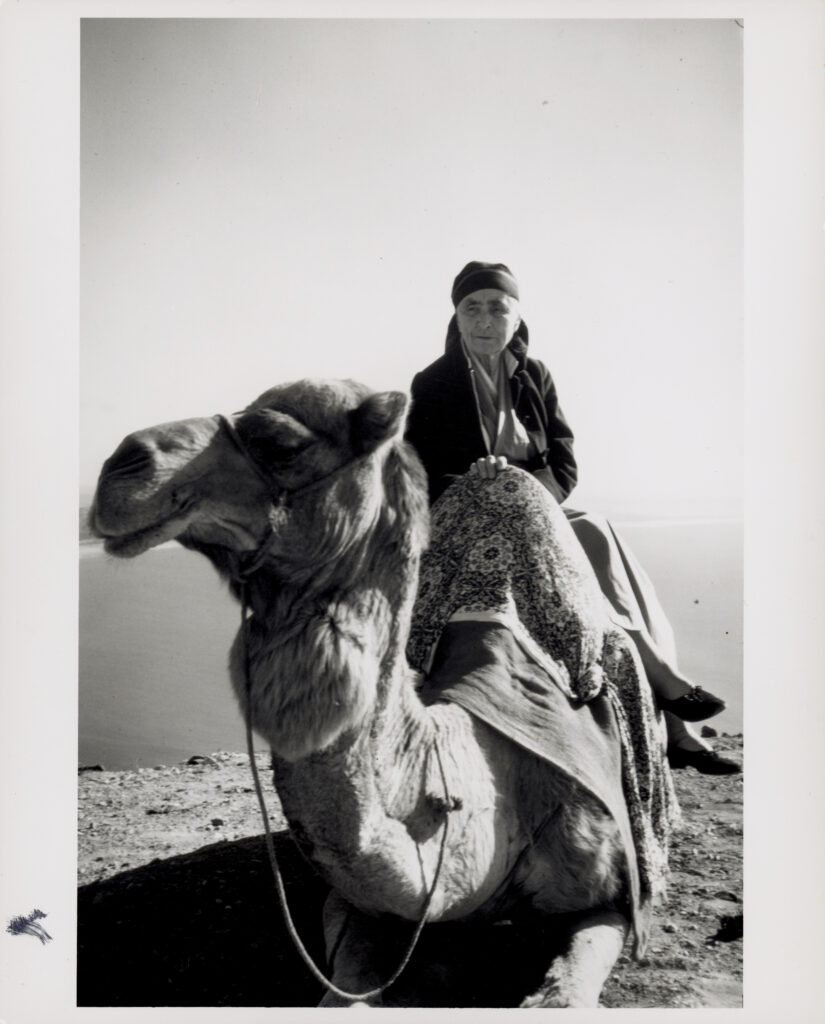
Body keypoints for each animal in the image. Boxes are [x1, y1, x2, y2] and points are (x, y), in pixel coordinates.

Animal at [90, 378, 671, 1007]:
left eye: (279, 441)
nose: (120, 466)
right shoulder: (353, 903)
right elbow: (346, 989)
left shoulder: (609, 893)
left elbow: (564, 990)